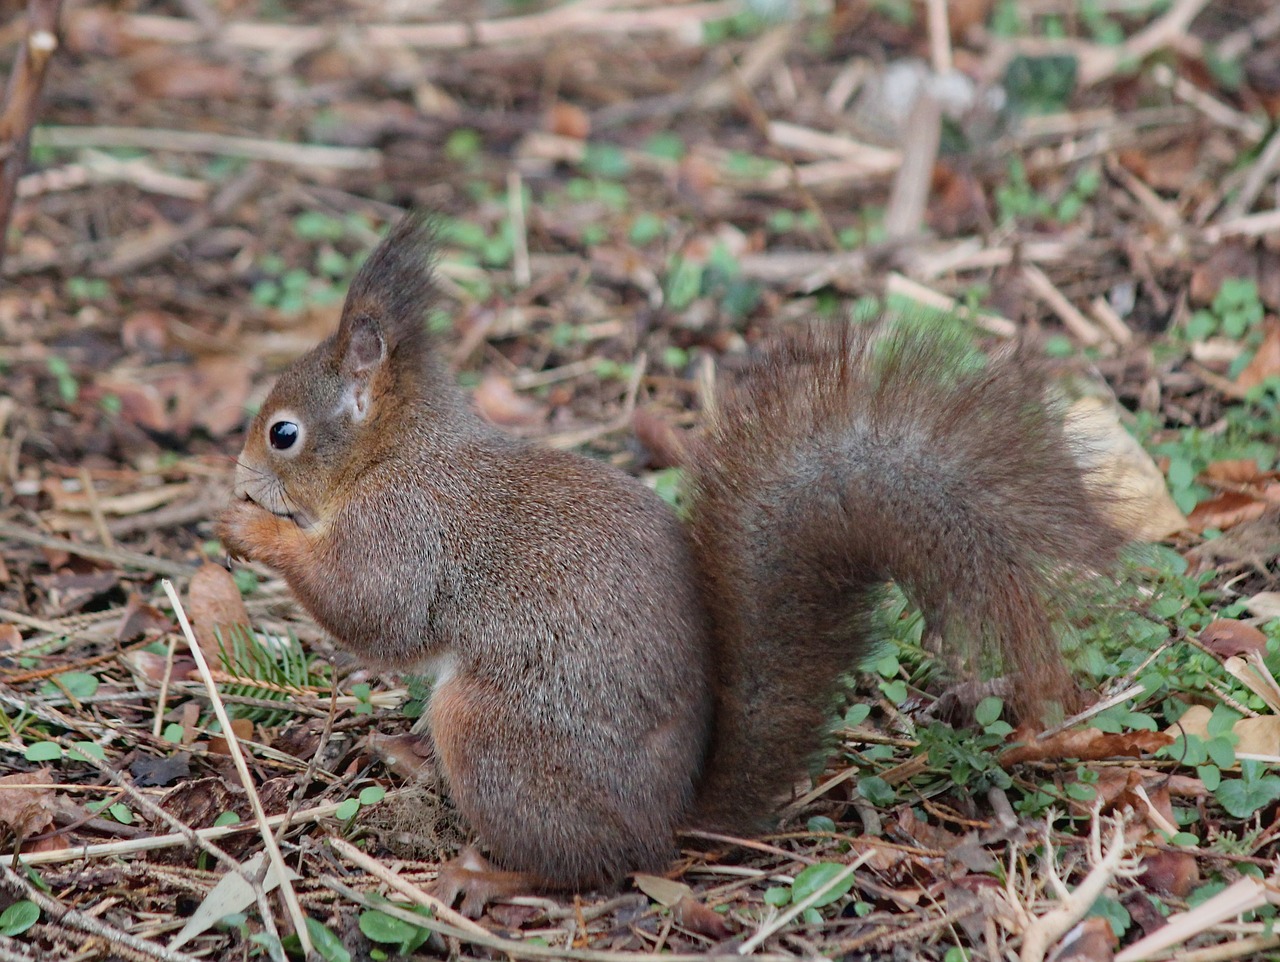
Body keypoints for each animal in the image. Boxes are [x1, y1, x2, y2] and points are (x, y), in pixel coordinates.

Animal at [220, 213, 1131, 910]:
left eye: (283, 433)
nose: (238, 479)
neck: (395, 452)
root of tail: (669, 819)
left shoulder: (405, 528)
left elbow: (372, 608)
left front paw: (254, 532)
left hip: (496, 734)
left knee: (582, 866)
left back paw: (485, 871)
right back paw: (408, 757)